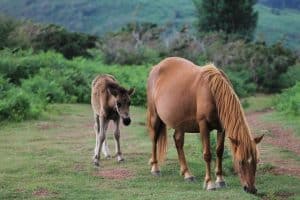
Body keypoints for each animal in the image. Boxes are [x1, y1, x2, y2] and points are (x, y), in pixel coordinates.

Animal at [146, 57, 264, 194]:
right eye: (240, 161)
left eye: (256, 160)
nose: (251, 189)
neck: (213, 92)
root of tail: (156, 67)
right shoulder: (203, 125)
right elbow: (207, 154)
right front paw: (210, 183)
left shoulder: (222, 128)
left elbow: (219, 152)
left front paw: (220, 180)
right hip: (155, 116)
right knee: (154, 139)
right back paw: (155, 168)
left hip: (180, 123)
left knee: (178, 142)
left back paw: (187, 174)